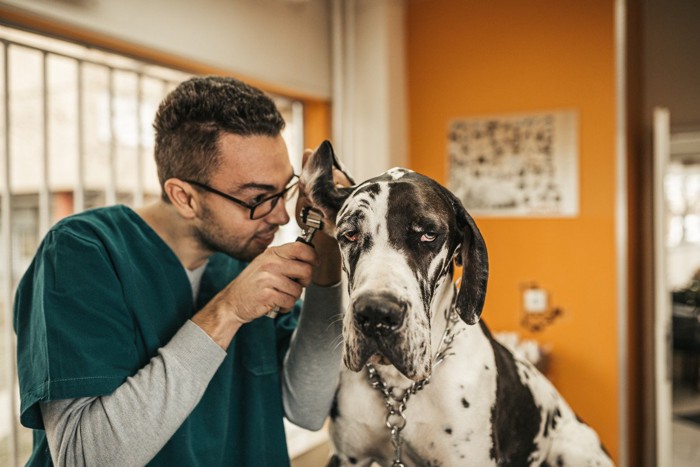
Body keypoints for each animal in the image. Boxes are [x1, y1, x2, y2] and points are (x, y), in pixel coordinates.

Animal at [300, 142, 612, 467]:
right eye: (350, 234)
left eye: (429, 234)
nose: (376, 314)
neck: (400, 390)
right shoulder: (347, 457)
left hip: (571, 450)